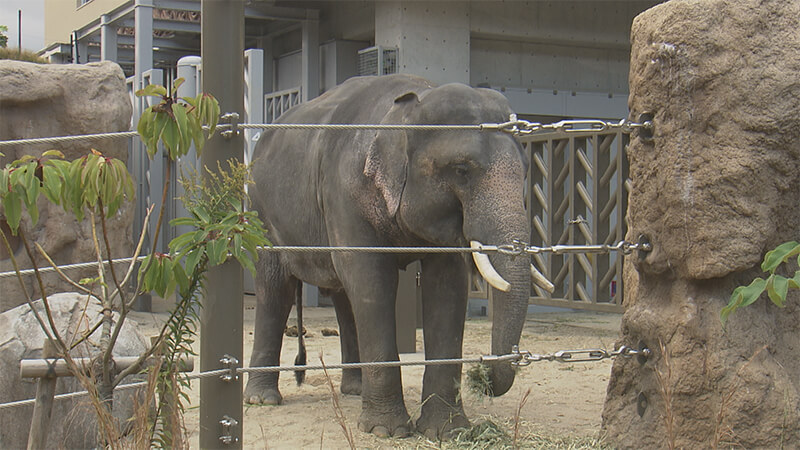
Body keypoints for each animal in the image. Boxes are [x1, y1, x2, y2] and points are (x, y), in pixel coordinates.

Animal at [244, 74, 544, 440]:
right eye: (461, 169)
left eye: (526, 170)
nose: (482, 376)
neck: (408, 105)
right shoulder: (342, 193)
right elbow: (372, 281)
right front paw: (387, 431)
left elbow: (447, 286)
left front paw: (447, 432)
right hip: (260, 213)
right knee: (276, 289)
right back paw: (262, 400)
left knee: (343, 296)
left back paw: (354, 390)